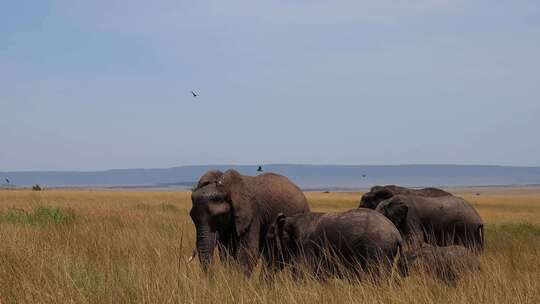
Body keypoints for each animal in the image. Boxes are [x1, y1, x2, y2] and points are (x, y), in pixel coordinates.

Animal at [264, 209, 402, 278]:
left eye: (269, 239)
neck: (290, 219)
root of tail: (397, 235)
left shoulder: (307, 245)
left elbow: (304, 273)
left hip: (378, 249)